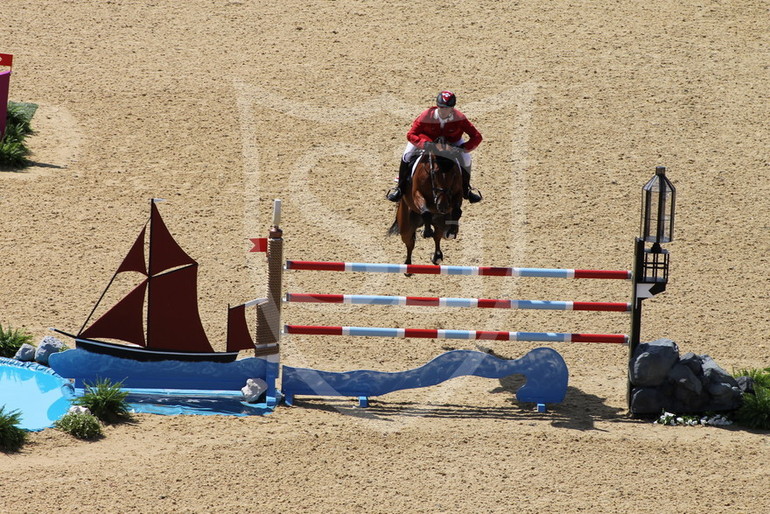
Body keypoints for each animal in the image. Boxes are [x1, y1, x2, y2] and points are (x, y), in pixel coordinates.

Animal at [384, 139, 462, 268]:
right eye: (435, 173)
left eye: (453, 174)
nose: (442, 206)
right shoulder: (417, 193)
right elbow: (425, 212)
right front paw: (427, 232)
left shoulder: (456, 193)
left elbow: (457, 211)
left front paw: (452, 231)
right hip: (406, 227)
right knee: (410, 243)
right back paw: (408, 265)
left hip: (440, 223)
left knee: (437, 236)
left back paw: (437, 256)